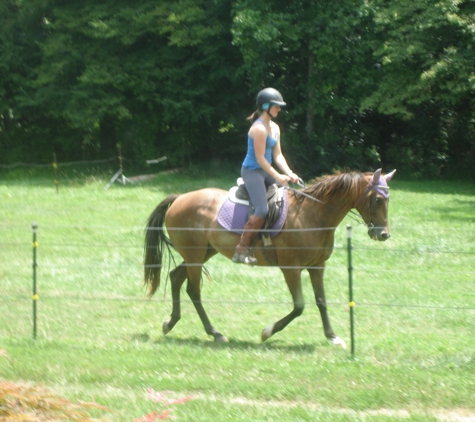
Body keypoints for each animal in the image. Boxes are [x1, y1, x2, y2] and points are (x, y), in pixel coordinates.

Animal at [143, 168, 396, 346]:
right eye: (377, 199)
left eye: (388, 200)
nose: (383, 234)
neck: (313, 214)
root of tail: (179, 198)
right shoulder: (291, 268)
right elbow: (299, 306)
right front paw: (267, 332)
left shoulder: (317, 266)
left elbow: (321, 301)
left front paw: (332, 336)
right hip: (195, 254)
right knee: (193, 290)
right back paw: (214, 333)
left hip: (203, 252)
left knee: (176, 277)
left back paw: (171, 323)